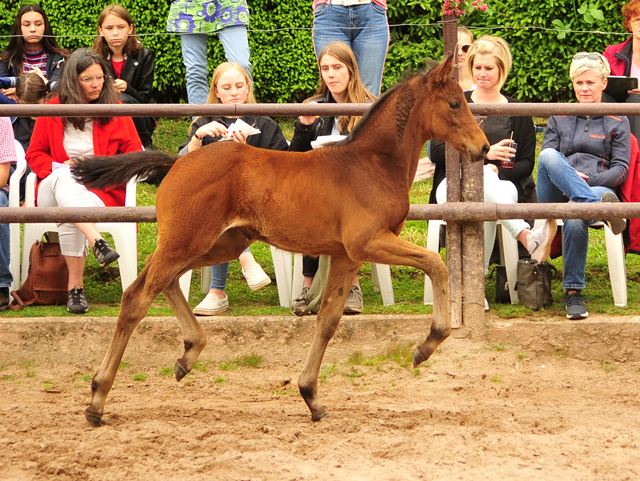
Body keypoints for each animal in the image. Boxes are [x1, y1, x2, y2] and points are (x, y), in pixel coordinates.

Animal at [72, 57, 488, 424]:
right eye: (454, 103)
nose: (483, 147)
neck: (371, 165)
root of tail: (178, 162)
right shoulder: (368, 241)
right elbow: (436, 264)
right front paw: (427, 345)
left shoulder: (346, 255)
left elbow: (329, 319)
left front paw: (311, 397)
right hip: (187, 241)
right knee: (136, 297)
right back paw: (97, 399)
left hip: (219, 244)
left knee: (165, 281)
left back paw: (188, 355)